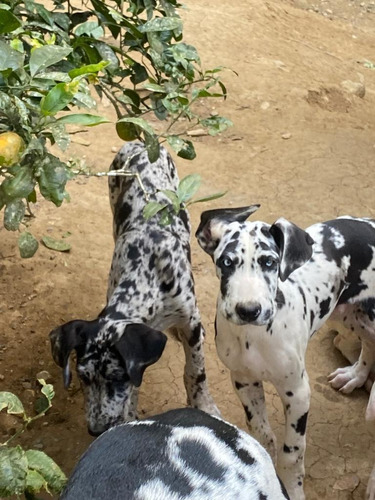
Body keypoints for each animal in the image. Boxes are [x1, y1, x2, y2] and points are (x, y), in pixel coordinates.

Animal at [50, 141, 220, 434]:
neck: (147, 277)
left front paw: (204, 404)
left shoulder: (190, 320)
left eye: (117, 377)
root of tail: (139, 142)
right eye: (83, 378)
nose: (96, 430)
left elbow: (196, 371)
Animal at [195, 204, 375, 500]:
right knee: (369, 343)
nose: (248, 310)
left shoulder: (298, 392)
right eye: (226, 262)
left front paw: (292, 489)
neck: (254, 336)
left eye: (269, 262)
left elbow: (292, 453)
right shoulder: (244, 381)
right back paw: (355, 376)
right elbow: (262, 435)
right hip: (348, 314)